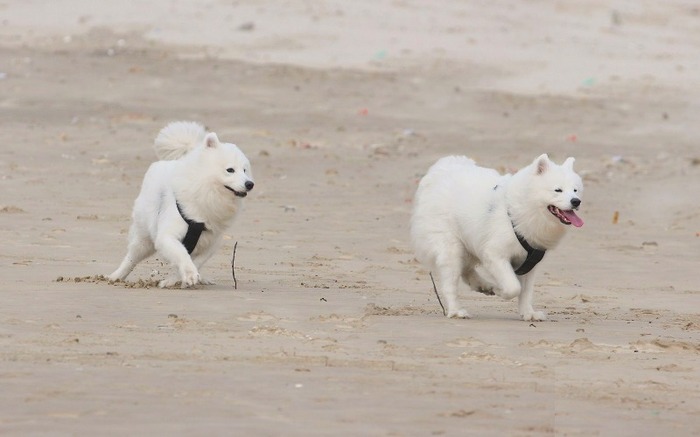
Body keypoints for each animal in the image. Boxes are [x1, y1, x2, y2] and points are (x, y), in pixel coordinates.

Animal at [108, 121, 253, 288]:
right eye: (230, 170)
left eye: (244, 170)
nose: (250, 184)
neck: (205, 192)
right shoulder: (167, 236)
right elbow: (182, 254)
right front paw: (189, 275)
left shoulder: (211, 244)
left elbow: (196, 262)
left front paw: (175, 280)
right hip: (143, 239)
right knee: (131, 257)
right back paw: (116, 276)